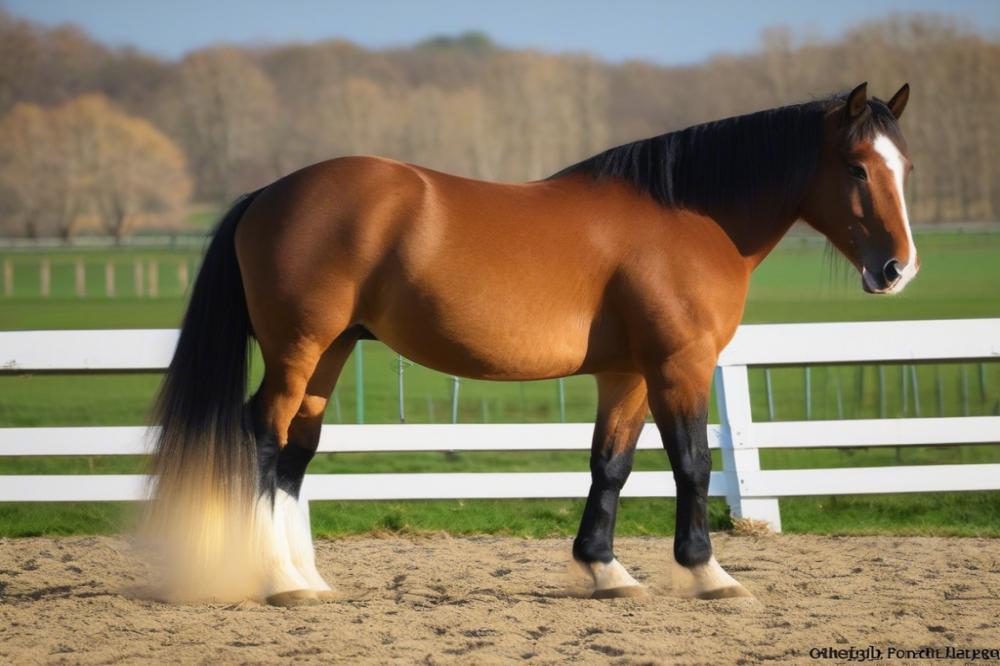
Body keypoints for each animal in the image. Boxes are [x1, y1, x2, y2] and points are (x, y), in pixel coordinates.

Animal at [145, 80, 916, 604]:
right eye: (856, 166)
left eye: (902, 167)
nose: (897, 270)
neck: (690, 217)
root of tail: (268, 194)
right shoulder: (679, 366)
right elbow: (693, 464)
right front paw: (707, 571)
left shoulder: (627, 374)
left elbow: (611, 466)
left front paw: (605, 568)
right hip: (298, 349)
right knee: (264, 436)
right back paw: (278, 580)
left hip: (331, 352)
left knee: (297, 452)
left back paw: (307, 576)